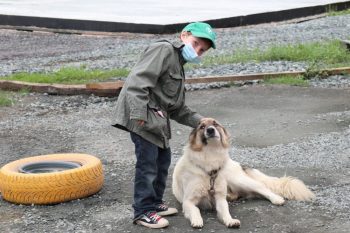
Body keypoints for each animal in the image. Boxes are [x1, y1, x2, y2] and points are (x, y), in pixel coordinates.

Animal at [172, 118, 314, 228]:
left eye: (215, 124)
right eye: (202, 127)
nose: (210, 130)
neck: (210, 156)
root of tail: (236, 163)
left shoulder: (219, 198)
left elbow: (225, 211)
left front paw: (230, 221)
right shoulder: (188, 201)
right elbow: (195, 210)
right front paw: (197, 220)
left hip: (239, 180)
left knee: (262, 188)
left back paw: (276, 199)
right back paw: (231, 196)